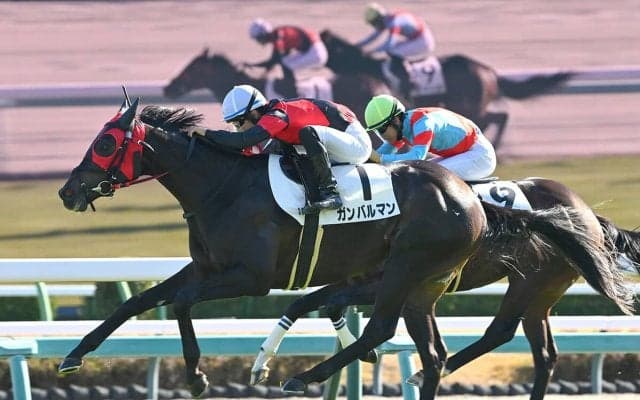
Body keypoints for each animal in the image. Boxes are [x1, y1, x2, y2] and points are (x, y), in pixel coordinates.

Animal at [250, 182, 639, 400]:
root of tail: (588, 215)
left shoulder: (384, 282)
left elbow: (329, 303)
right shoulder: (369, 282)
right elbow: (309, 302)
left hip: (529, 279)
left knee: (501, 331)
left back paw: (423, 372)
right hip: (542, 291)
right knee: (543, 352)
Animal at [320, 30, 574, 151]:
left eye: (324, 46)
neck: (373, 69)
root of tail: (489, 72)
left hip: (471, 105)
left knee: (498, 117)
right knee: (498, 117)